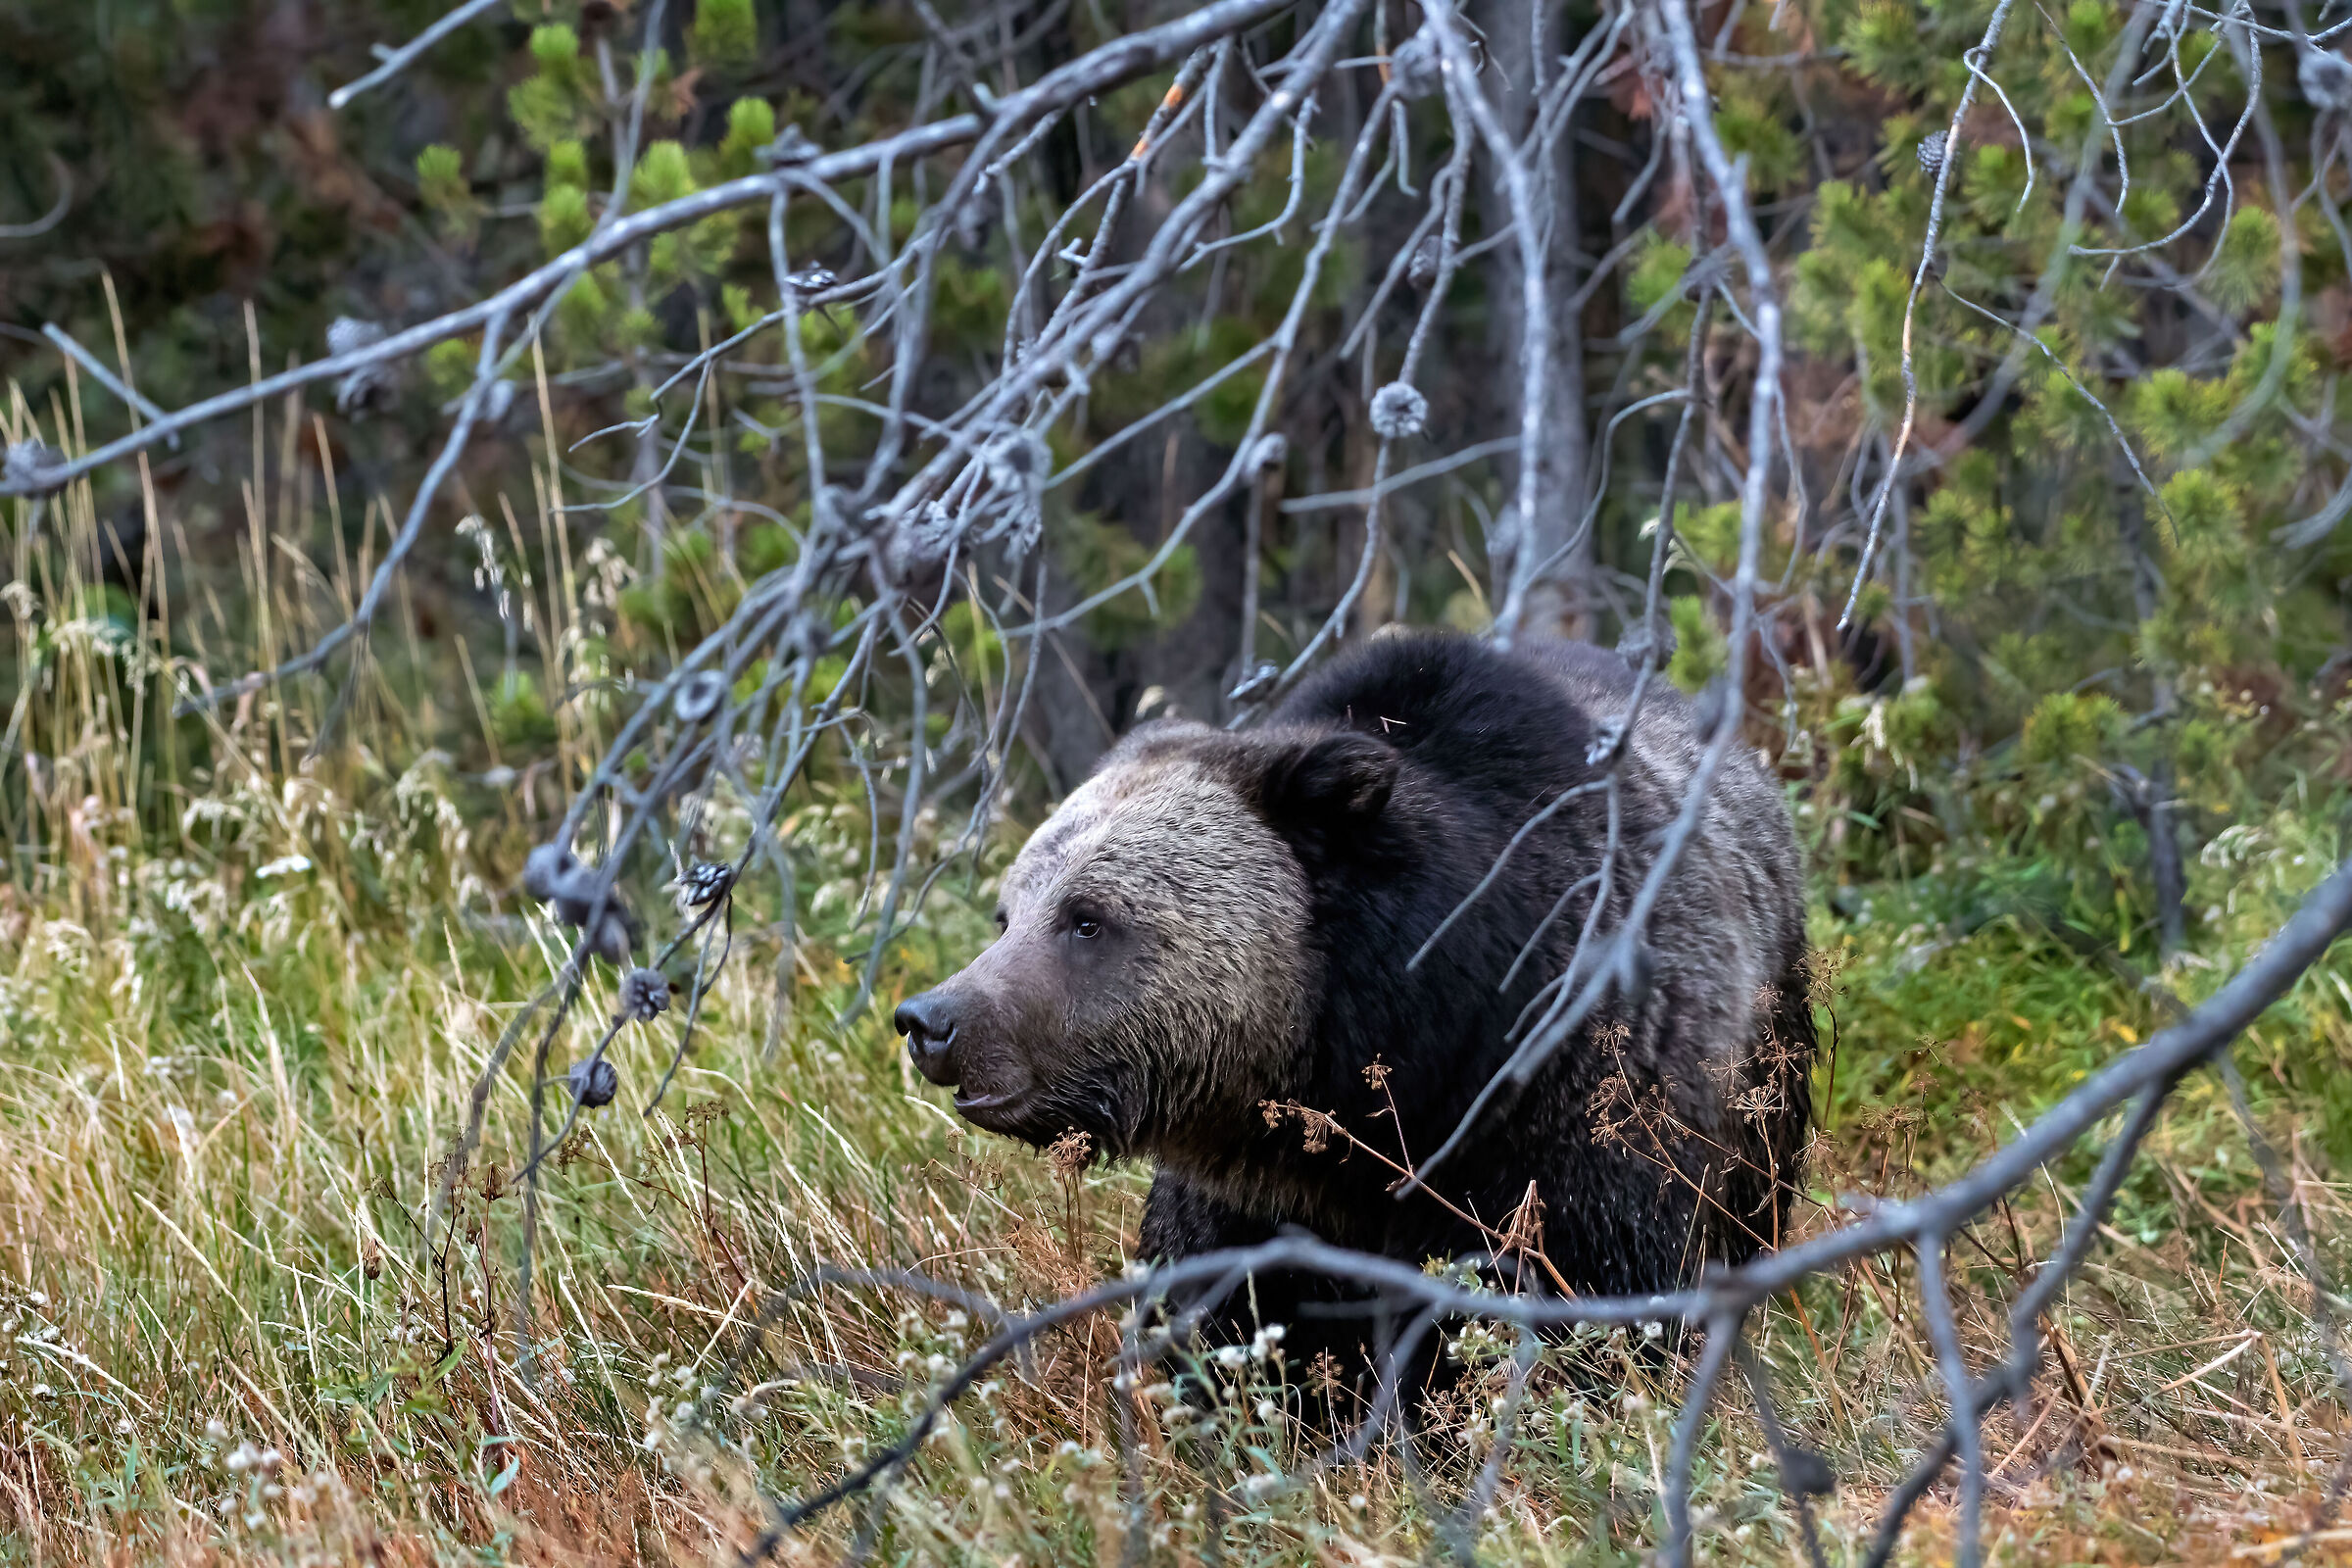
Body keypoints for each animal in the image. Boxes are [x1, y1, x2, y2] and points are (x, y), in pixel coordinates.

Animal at [894, 631, 1814, 1386]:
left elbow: (1591, 1296)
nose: (932, 1020)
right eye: (1009, 913)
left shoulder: (1574, 1110)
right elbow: (1233, 1315)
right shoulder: (1257, 1195)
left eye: (1087, 918)